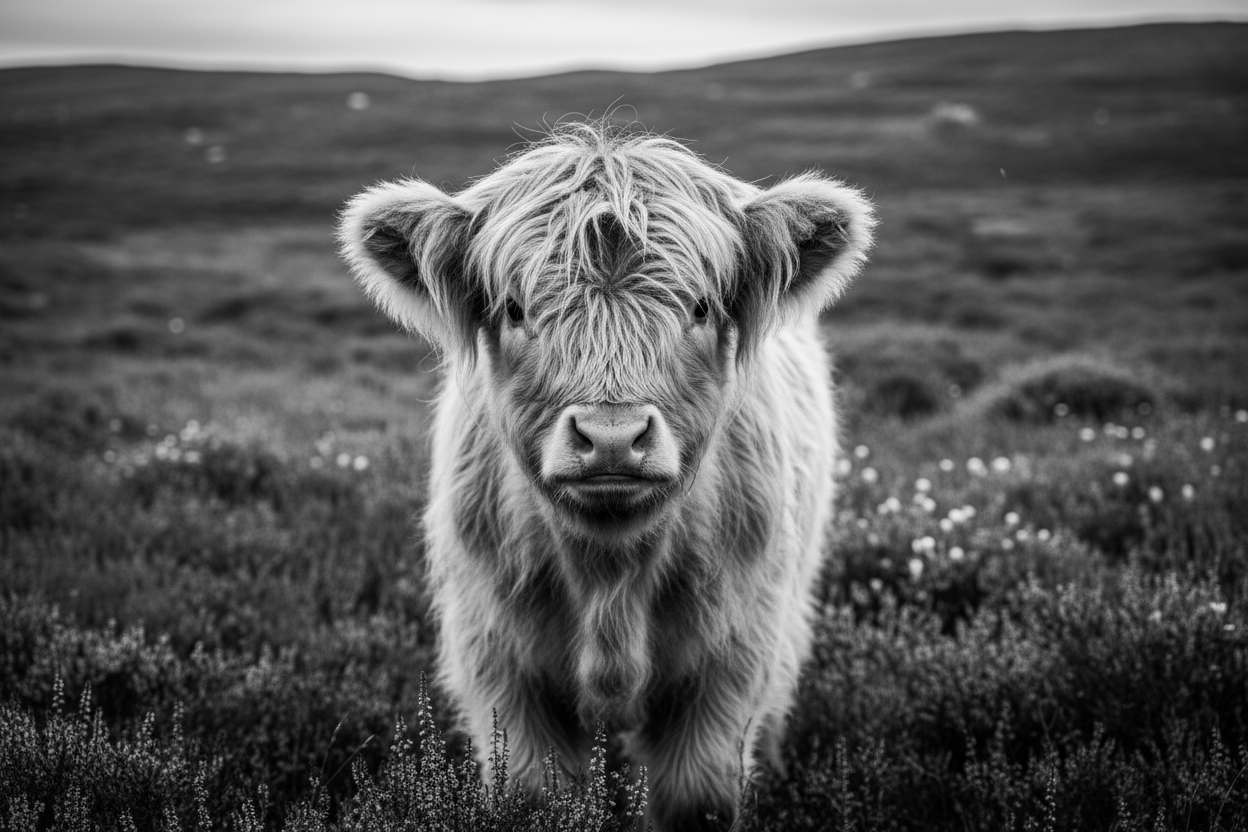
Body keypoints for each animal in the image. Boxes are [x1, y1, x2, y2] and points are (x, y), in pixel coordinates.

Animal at [338, 122, 874, 831]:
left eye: (700, 307)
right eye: (515, 309)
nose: (613, 437)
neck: (608, 573)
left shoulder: (732, 661)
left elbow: (698, 800)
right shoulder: (499, 663)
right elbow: (536, 797)